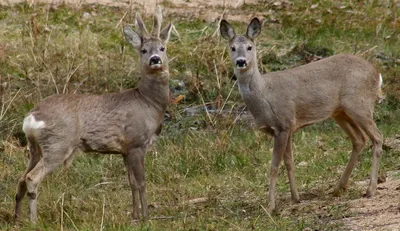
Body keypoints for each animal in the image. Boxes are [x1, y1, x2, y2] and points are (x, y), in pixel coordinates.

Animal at [14, 7, 173, 224]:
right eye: (144, 50)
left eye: (162, 48)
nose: (155, 59)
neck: (148, 103)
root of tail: (32, 117)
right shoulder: (136, 143)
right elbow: (141, 182)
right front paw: (146, 218)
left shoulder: (124, 150)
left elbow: (131, 182)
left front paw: (134, 216)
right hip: (58, 143)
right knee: (31, 178)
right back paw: (33, 221)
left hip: (35, 147)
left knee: (22, 178)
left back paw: (16, 219)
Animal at [220, 18, 382, 213]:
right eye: (232, 48)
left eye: (250, 47)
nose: (241, 61)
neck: (264, 95)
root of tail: (377, 73)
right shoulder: (288, 127)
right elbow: (289, 162)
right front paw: (295, 198)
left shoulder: (283, 124)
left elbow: (274, 166)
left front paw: (271, 205)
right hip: (340, 112)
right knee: (359, 139)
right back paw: (338, 187)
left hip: (360, 105)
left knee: (377, 138)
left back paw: (370, 190)